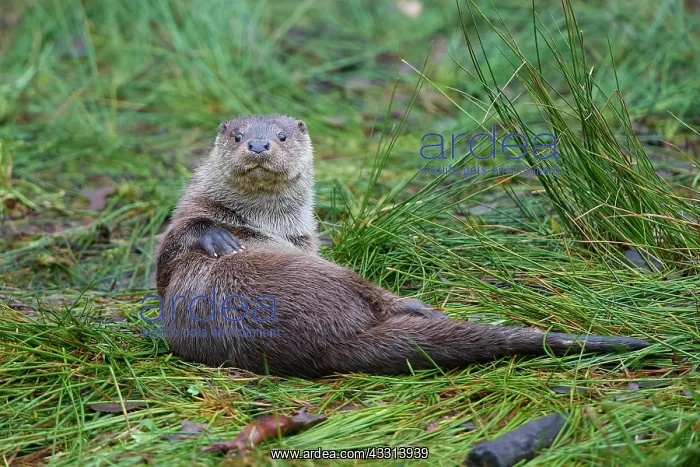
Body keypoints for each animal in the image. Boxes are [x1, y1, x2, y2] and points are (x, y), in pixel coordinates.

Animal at [154, 114, 650, 378]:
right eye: (238, 136)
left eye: (281, 136)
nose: (258, 145)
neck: (267, 223)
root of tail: (328, 344)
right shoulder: (188, 212)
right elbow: (171, 247)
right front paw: (216, 235)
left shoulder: (306, 240)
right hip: (328, 277)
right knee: (376, 296)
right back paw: (420, 310)